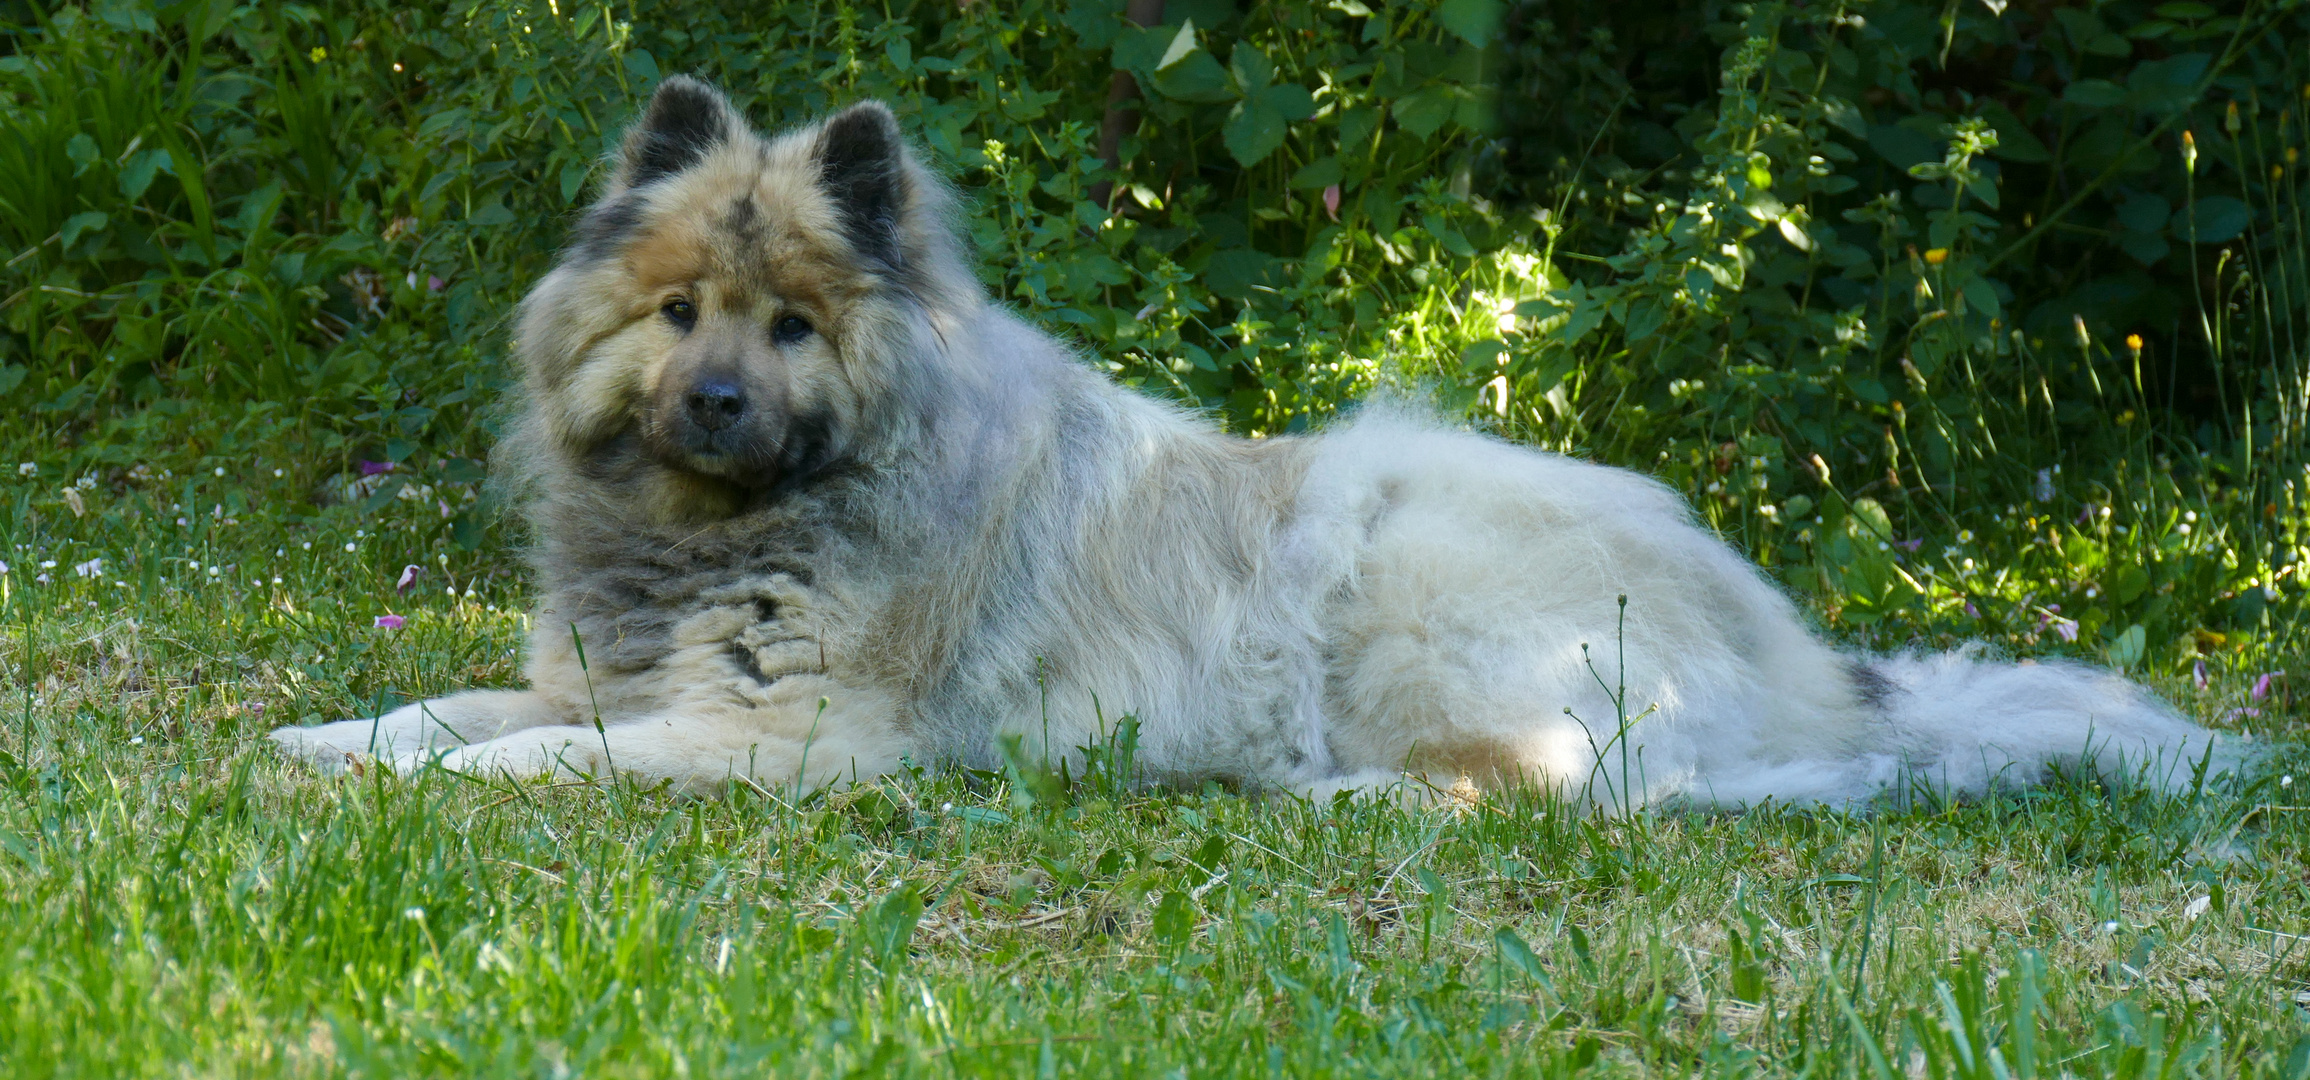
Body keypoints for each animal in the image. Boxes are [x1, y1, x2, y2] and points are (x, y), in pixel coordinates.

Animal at [270, 80, 2236, 807]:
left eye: (794, 329)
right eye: (679, 314)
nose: (719, 403)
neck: (712, 528)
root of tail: (1813, 676)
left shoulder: (786, 737)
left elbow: (536, 758)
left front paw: (406, 783)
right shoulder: (592, 670)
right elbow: (451, 707)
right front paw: (319, 740)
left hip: (1398, 572)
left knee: (1553, 783)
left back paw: (1341, 797)